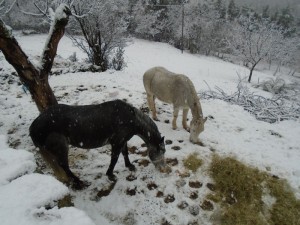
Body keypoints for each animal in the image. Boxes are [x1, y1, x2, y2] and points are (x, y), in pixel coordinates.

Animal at [30, 99, 172, 189]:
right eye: (161, 151)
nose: (165, 170)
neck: (130, 118)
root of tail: (33, 127)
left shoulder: (123, 140)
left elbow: (125, 153)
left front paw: (130, 166)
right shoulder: (117, 142)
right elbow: (114, 159)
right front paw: (110, 175)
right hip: (61, 148)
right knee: (64, 166)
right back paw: (80, 183)